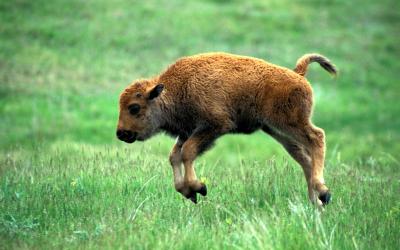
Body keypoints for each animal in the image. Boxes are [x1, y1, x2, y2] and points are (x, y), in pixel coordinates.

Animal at [116, 51, 338, 206]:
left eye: (134, 107)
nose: (121, 133)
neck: (176, 88)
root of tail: (297, 74)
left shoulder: (214, 126)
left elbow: (187, 152)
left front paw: (199, 187)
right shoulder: (188, 132)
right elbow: (175, 156)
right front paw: (188, 192)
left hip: (290, 123)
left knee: (317, 138)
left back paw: (323, 192)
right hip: (275, 129)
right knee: (303, 158)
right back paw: (316, 202)